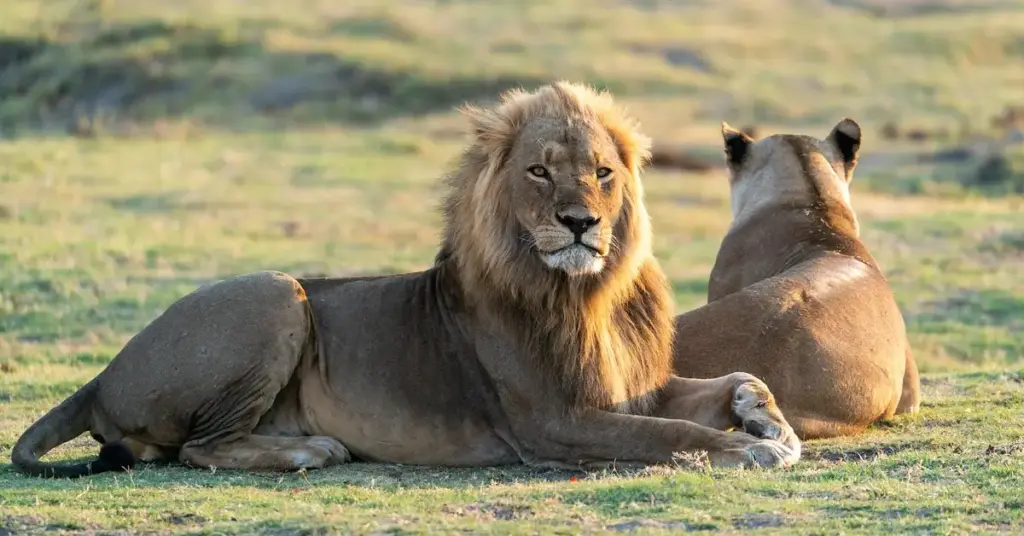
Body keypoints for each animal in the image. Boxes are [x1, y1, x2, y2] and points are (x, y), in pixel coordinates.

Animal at [13, 82, 800, 479]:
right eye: (539, 171)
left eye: (603, 172)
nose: (580, 222)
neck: (587, 294)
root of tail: (104, 371)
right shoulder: (555, 422)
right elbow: (667, 435)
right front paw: (748, 447)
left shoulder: (633, 387)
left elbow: (737, 378)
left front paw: (769, 422)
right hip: (276, 293)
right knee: (199, 449)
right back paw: (310, 449)